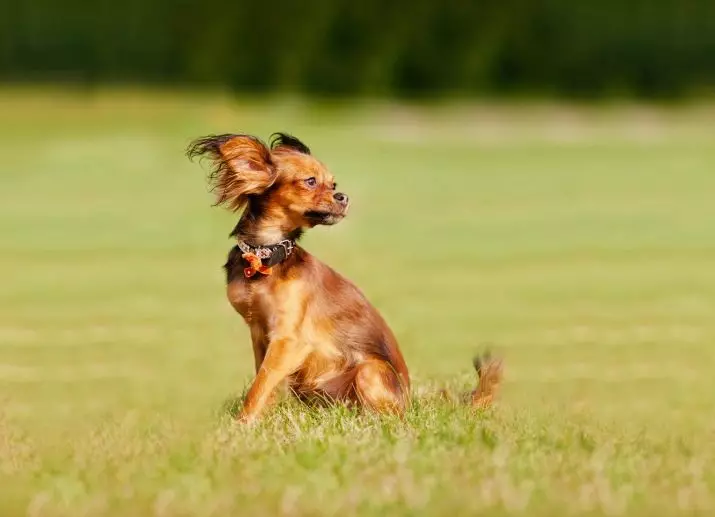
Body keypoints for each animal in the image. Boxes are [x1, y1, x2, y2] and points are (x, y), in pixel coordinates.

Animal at [190, 133, 504, 424]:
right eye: (311, 182)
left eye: (333, 185)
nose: (343, 197)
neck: (266, 257)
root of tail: (410, 400)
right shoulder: (259, 331)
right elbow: (264, 382)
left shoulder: (288, 339)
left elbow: (260, 386)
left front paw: (242, 425)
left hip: (369, 372)